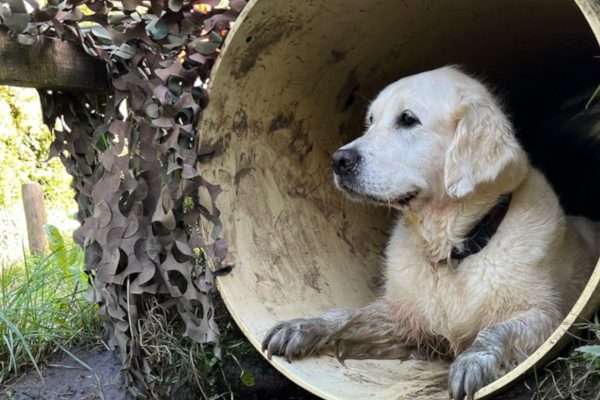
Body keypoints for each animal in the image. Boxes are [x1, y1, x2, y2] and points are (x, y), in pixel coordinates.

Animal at [260, 66, 596, 400]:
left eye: (408, 119)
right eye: (370, 121)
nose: (338, 161)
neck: (453, 251)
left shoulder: (548, 317)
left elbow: (495, 330)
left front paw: (473, 361)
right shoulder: (406, 318)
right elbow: (346, 315)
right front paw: (302, 328)